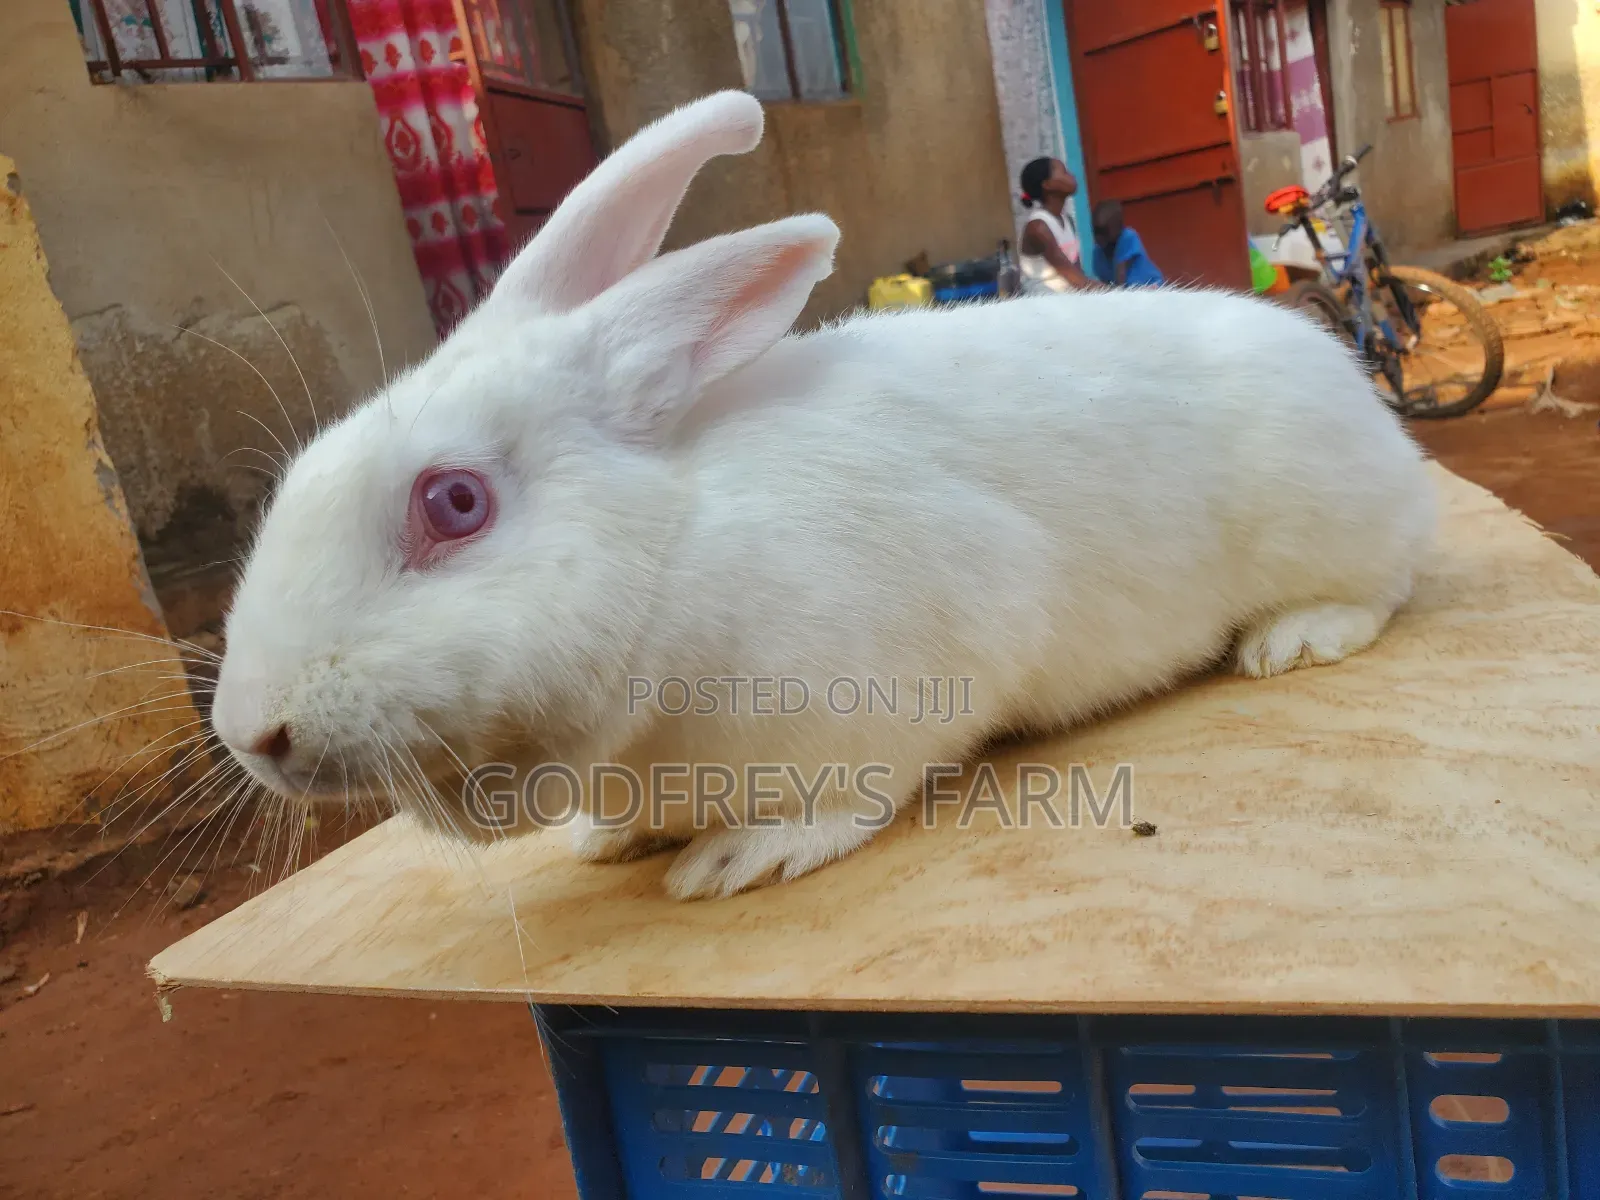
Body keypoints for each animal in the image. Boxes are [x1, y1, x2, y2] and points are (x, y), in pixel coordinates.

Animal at [211, 89, 1437, 901]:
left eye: (455, 504)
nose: (249, 734)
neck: (668, 557)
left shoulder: (902, 671)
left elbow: (848, 797)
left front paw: (737, 857)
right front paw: (607, 842)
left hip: (1335, 524)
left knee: (1381, 589)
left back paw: (1291, 640)